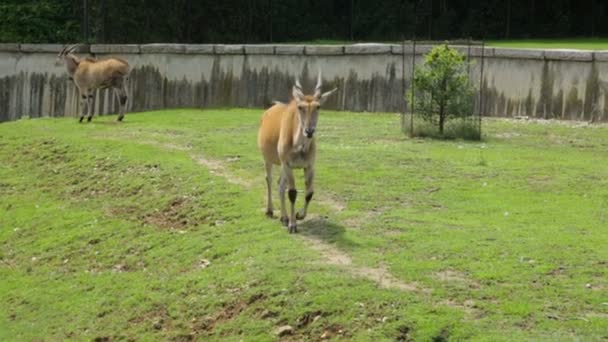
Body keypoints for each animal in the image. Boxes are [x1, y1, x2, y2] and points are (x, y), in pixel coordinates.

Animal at [258, 71, 340, 232]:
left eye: (318, 106)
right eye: (300, 107)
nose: (309, 131)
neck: (299, 147)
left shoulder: (309, 166)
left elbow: (309, 193)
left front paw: (298, 215)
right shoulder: (288, 164)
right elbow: (292, 193)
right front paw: (293, 225)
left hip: (282, 166)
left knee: (280, 184)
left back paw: (283, 217)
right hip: (269, 160)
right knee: (269, 180)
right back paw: (270, 211)